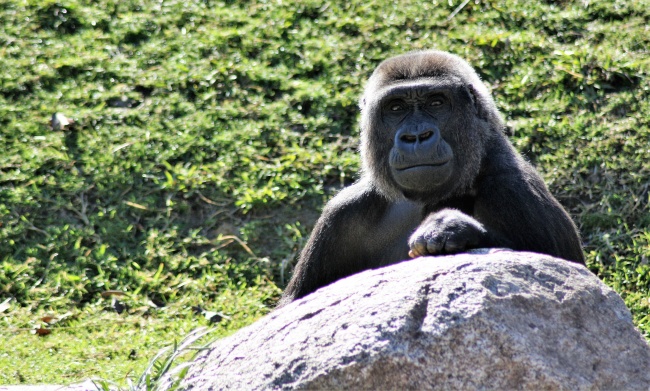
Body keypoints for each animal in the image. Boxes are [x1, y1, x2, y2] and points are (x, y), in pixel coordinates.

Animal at [276, 49, 584, 308]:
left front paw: (454, 229)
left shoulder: (513, 189)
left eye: (436, 102)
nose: (416, 136)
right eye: (396, 108)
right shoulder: (343, 213)